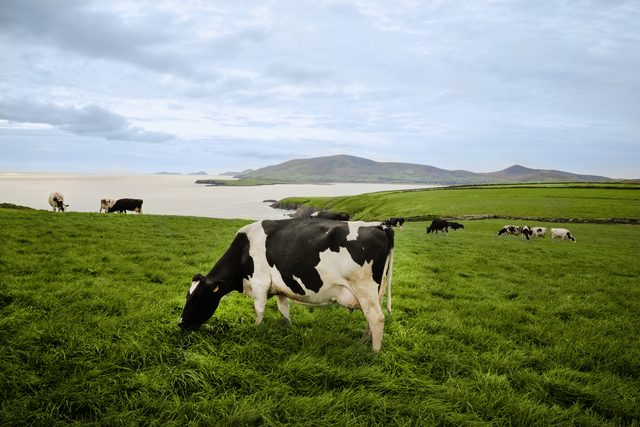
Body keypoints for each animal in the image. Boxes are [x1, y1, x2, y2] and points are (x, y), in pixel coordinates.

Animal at [179, 219, 396, 352]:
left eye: (197, 298)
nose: (180, 323)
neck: (243, 251)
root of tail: (380, 226)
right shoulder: (280, 287)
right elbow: (284, 310)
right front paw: (288, 329)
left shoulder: (260, 282)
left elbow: (259, 311)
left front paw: (256, 331)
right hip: (373, 291)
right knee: (370, 317)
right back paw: (364, 340)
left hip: (364, 287)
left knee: (377, 318)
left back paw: (374, 352)